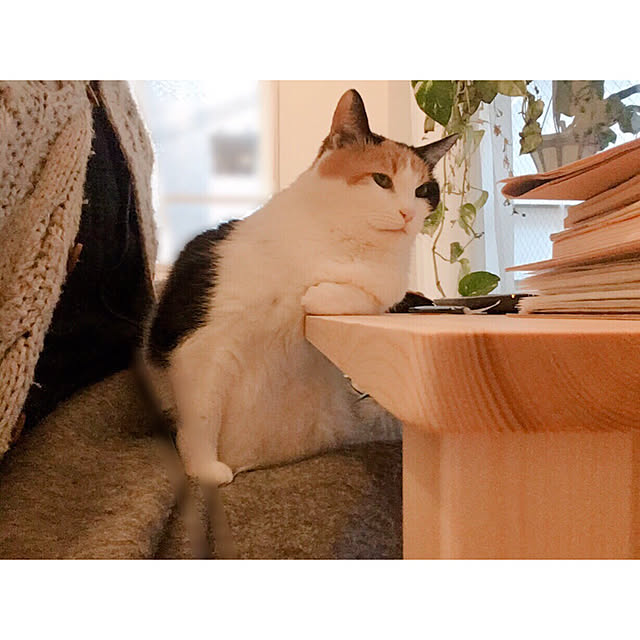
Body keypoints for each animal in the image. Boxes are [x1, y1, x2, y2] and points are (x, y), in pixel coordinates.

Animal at [140, 89, 457, 486]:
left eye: (424, 190)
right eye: (382, 180)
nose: (408, 215)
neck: (342, 245)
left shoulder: (387, 286)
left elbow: (371, 296)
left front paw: (316, 295)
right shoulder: (206, 346)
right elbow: (202, 414)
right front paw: (204, 471)